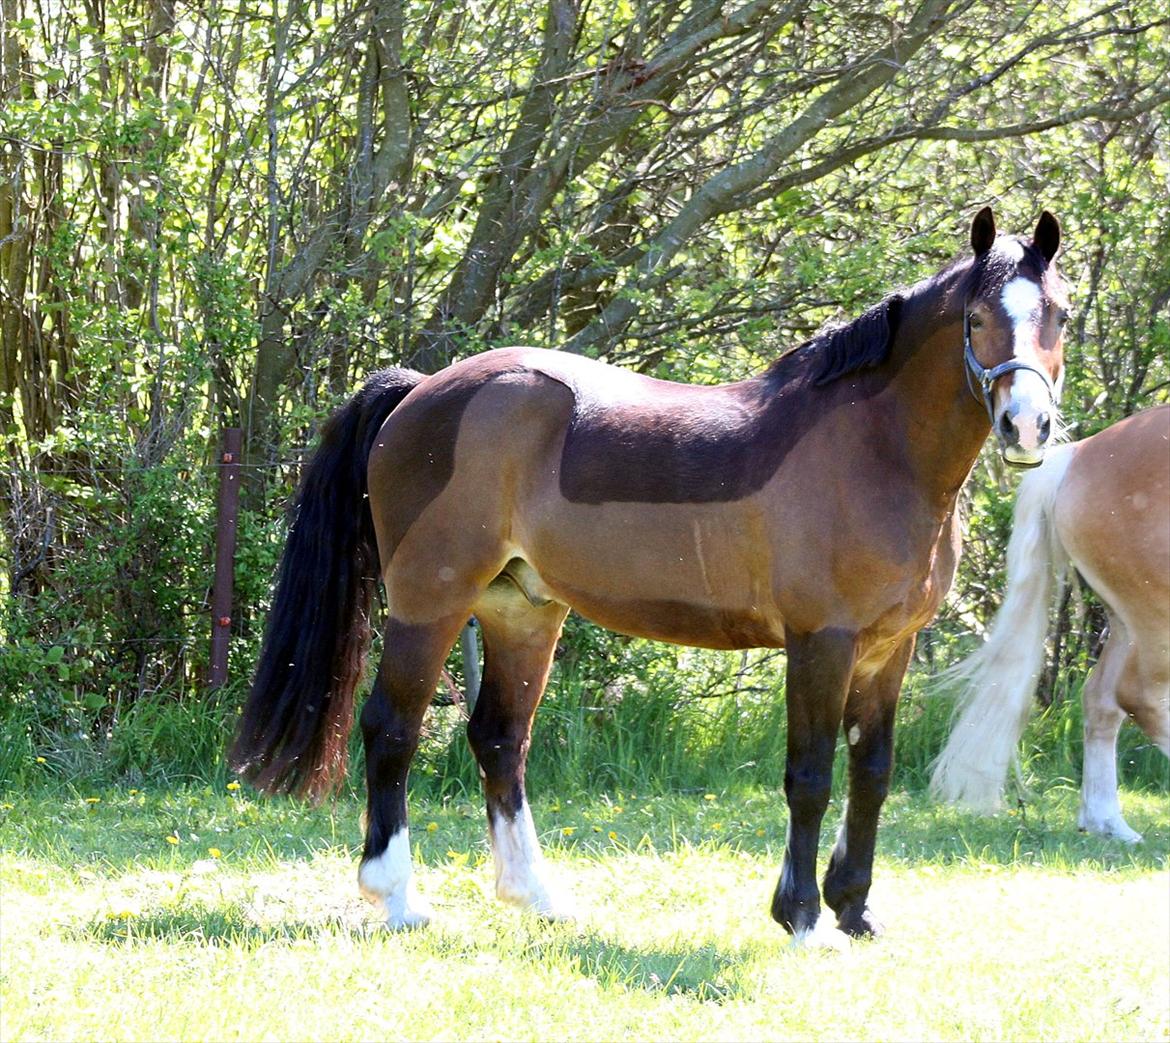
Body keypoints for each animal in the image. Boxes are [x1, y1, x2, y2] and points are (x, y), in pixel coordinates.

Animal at [230, 208, 1071, 941]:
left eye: (1059, 315)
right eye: (975, 318)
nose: (1027, 426)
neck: (872, 451)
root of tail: (422, 391)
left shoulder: (888, 648)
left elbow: (872, 773)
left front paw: (855, 910)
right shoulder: (821, 642)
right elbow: (810, 775)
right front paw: (801, 918)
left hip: (521, 610)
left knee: (500, 737)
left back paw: (537, 896)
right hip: (429, 601)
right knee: (392, 730)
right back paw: (399, 897)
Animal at [926, 402, 1165, 842]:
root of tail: (1077, 455)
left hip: (1129, 622)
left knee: (1103, 699)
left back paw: (1109, 824)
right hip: (1153, 617)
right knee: (1139, 697)